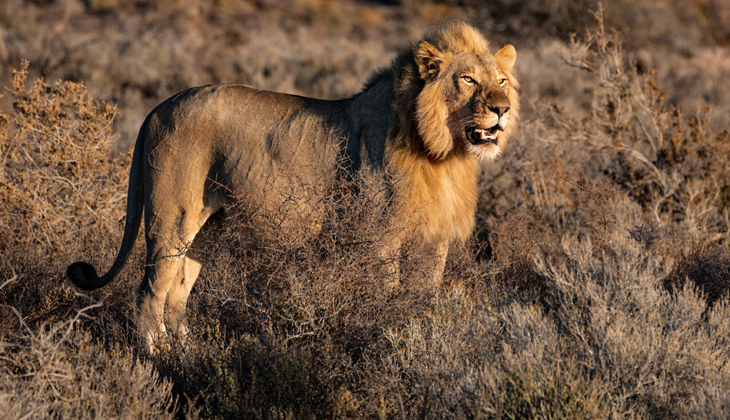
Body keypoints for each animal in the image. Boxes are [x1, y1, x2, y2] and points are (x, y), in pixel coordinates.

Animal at [64, 20, 516, 354]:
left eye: (502, 81)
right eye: (468, 80)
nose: (502, 110)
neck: (443, 154)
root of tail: (157, 108)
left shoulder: (433, 240)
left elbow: (422, 300)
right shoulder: (380, 239)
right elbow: (385, 299)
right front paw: (386, 342)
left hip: (208, 228)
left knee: (177, 295)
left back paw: (190, 356)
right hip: (171, 218)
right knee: (148, 294)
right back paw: (159, 362)